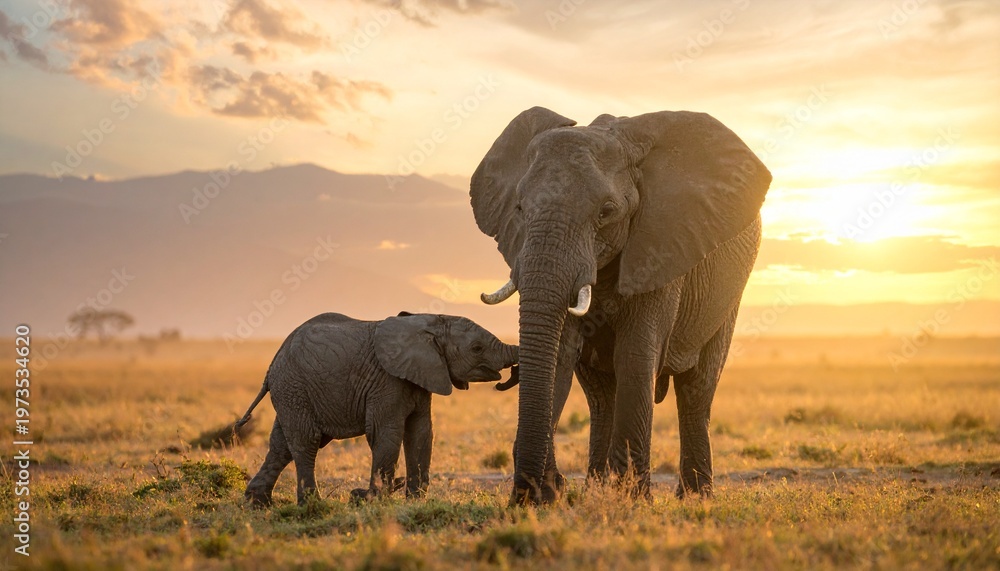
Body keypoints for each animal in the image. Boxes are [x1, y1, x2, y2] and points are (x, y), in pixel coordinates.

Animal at [234, 311, 518, 506]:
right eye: (477, 348)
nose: (505, 379)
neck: (428, 322)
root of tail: (272, 364)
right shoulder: (387, 380)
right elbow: (386, 433)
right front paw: (372, 499)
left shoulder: (422, 376)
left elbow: (421, 433)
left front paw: (414, 502)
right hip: (294, 386)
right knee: (306, 440)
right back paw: (312, 505)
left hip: (291, 391)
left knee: (281, 444)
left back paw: (257, 503)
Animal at [470, 107, 771, 504]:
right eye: (520, 208)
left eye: (607, 211)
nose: (526, 496)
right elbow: (560, 354)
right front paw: (550, 501)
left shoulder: (660, 246)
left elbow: (635, 356)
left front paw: (633, 502)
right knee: (601, 395)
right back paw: (597, 490)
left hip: (728, 293)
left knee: (697, 388)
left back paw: (695, 498)